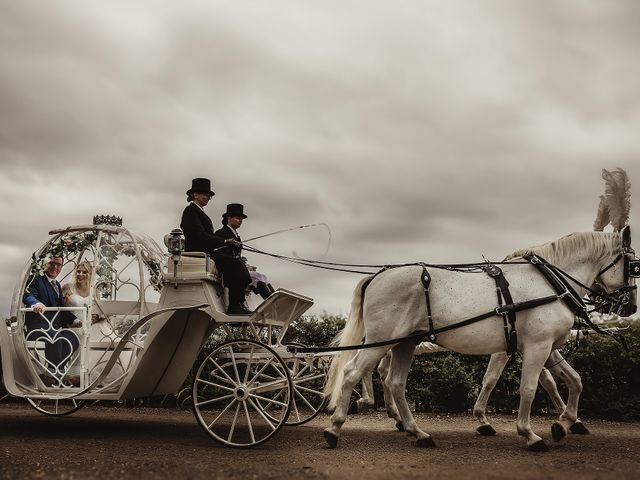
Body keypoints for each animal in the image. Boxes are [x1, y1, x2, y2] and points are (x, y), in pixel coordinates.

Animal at [324, 229, 636, 450]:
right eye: (634, 265)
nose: (630, 306)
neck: (548, 283)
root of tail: (378, 275)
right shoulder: (536, 346)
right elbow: (529, 388)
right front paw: (529, 433)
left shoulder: (545, 347)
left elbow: (573, 380)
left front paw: (565, 423)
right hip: (383, 341)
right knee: (353, 373)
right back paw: (334, 428)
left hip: (404, 343)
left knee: (395, 382)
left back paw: (417, 431)